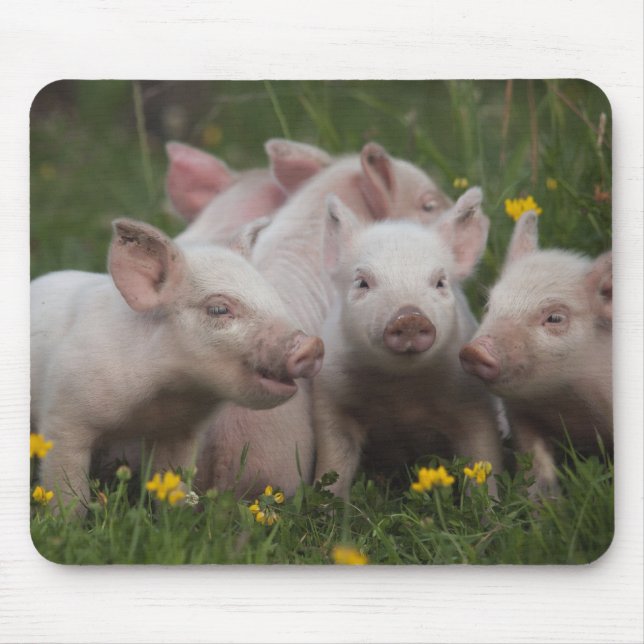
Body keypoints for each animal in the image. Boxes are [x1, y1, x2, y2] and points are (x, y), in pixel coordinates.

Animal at [31, 218, 323, 510]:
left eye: (274, 298)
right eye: (219, 309)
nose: (313, 345)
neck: (166, 395)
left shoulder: (181, 432)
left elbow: (173, 480)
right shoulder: (64, 415)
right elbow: (67, 490)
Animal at [312, 188, 505, 499]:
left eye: (440, 282)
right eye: (362, 282)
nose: (410, 316)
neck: (401, 394)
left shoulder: (474, 402)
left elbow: (483, 459)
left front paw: (491, 508)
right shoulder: (330, 398)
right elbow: (334, 464)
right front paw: (325, 508)